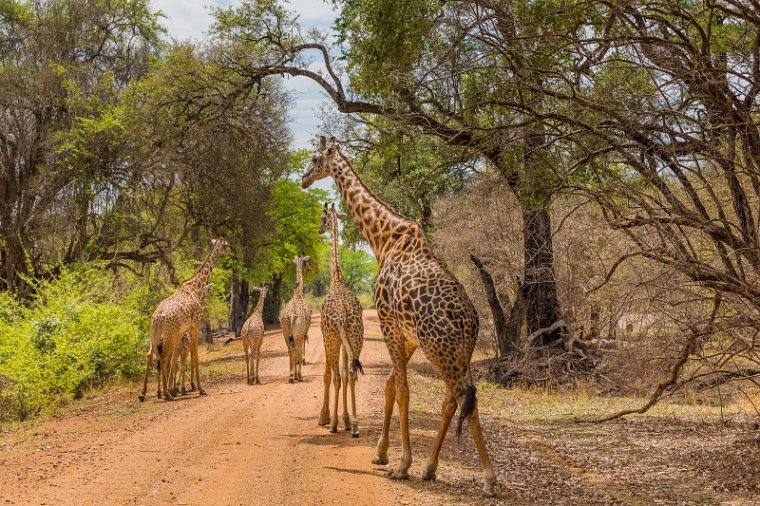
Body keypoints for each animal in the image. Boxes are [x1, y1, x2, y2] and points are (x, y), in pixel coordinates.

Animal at [137, 238, 232, 404]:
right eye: (226, 245)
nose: (232, 252)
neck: (195, 287)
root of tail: (158, 317)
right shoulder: (195, 325)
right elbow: (195, 357)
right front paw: (200, 389)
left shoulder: (181, 332)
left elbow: (176, 358)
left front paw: (175, 389)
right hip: (168, 334)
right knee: (163, 358)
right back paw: (166, 394)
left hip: (154, 334)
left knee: (150, 355)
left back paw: (144, 393)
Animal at [278, 256, 310, 384]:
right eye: (307, 263)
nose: (310, 269)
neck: (298, 293)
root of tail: (291, 316)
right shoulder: (303, 333)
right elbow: (301, 350)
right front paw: (298, 375)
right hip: (297, 333)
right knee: (297, 349)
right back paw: (298, 376)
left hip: (285, 332)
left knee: (290, 350)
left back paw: (291, 376)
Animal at [302, 136, 498, 496]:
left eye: (315, 158)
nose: (304, 180)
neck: (383, 238)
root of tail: (471, 322)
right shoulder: (406, 337)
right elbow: (392, 384)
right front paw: (382, 454)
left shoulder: (388, 323)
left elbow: (403, 390)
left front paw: (402, 465)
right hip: (458, 353)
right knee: (453, 400)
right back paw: (431, 469)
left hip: (440, 350)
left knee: (464, 398)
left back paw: (489, 480)